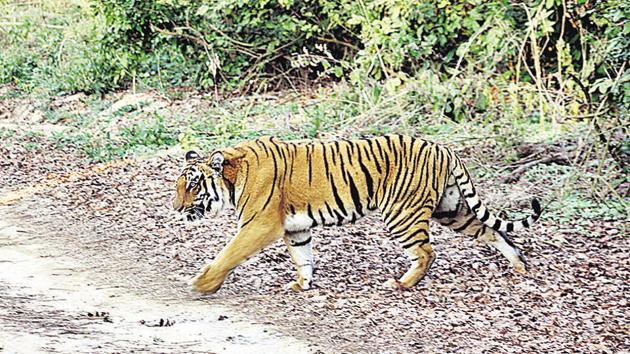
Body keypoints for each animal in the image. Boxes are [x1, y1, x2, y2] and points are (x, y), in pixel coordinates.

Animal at [174, 134, 544, 292]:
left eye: (192, 185)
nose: (175, 208)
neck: (233, 176)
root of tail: (443, 148)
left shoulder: (259, 225)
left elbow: (227, 254)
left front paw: (202, 284)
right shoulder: (296, 229)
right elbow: (303, 258)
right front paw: (302, 285)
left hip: (403, 214)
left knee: (427, 252)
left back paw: (401, 283)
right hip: (451, 209)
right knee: (494, 230)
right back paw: (520, 266)